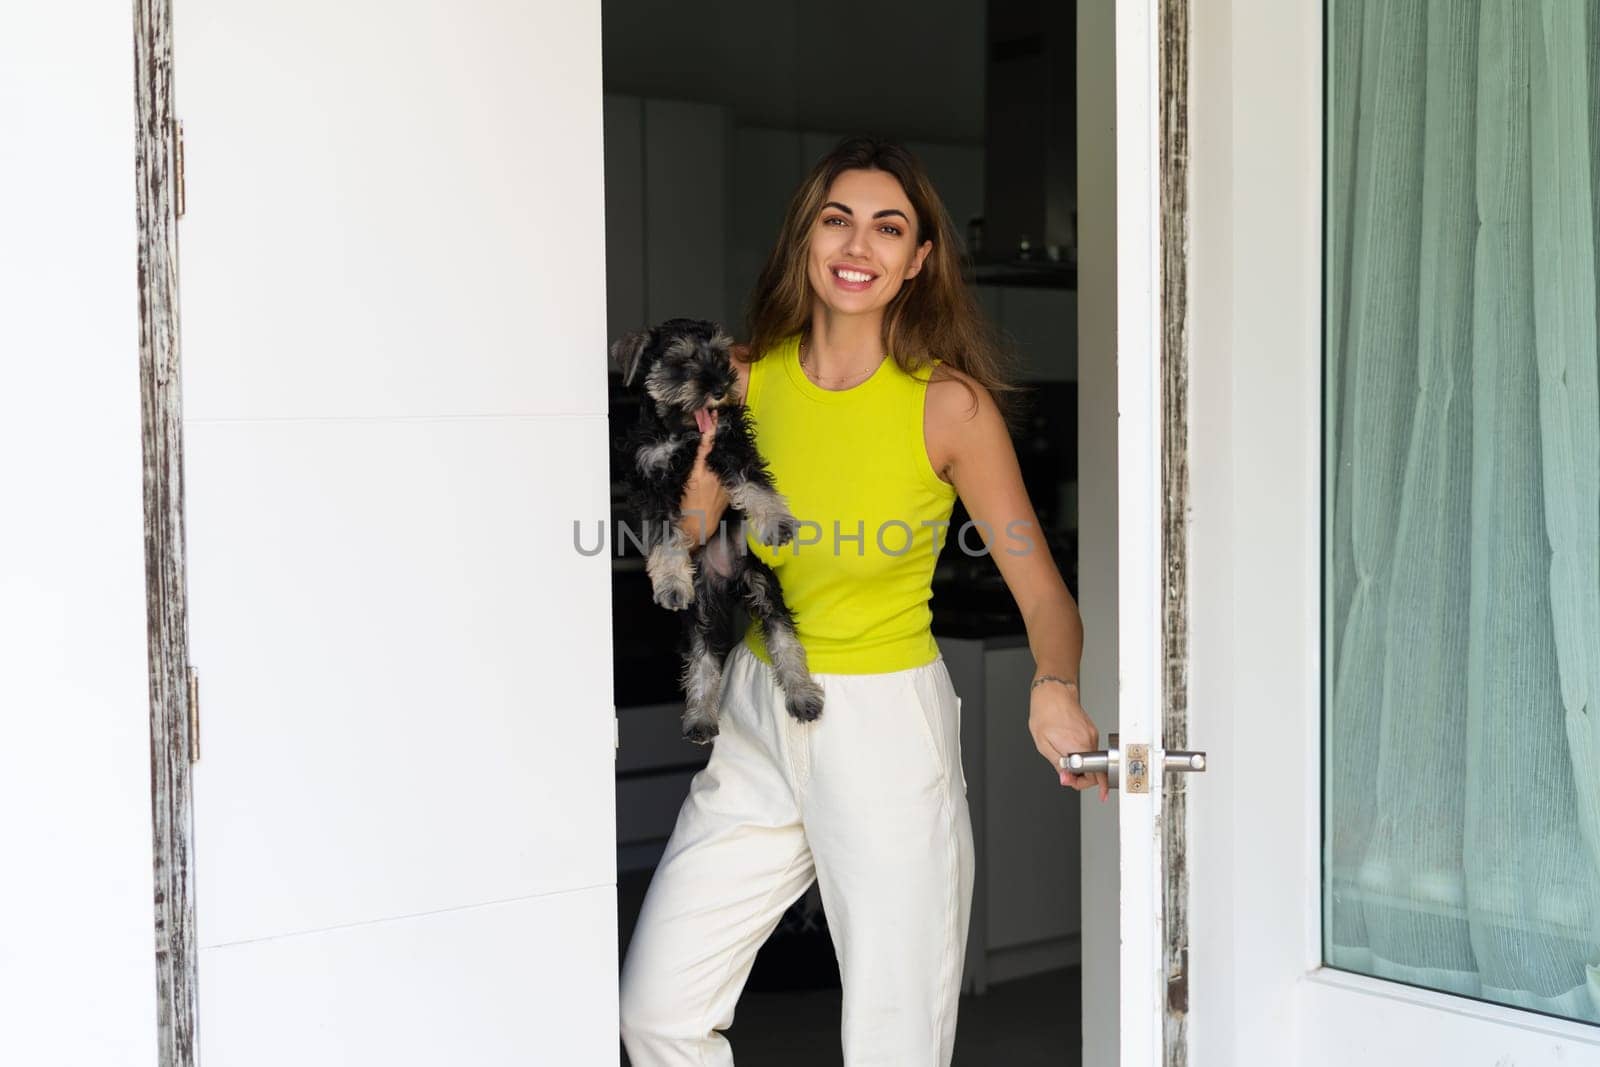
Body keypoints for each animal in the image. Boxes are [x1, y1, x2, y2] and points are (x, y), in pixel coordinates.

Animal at [611, 319, 825, 742]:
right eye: (681, 361)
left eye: (720, 355)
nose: (720, 388)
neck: (681, 426)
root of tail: (726, 581)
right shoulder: (652, 483)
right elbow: (667, 537)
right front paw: (671, 582)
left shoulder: (730, 443)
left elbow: (754, 485)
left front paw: (776, 522)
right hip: (701, 612)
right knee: (703, 660)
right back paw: (700, 718)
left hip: (762, 586)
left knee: (783, 638)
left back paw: (802, 694)